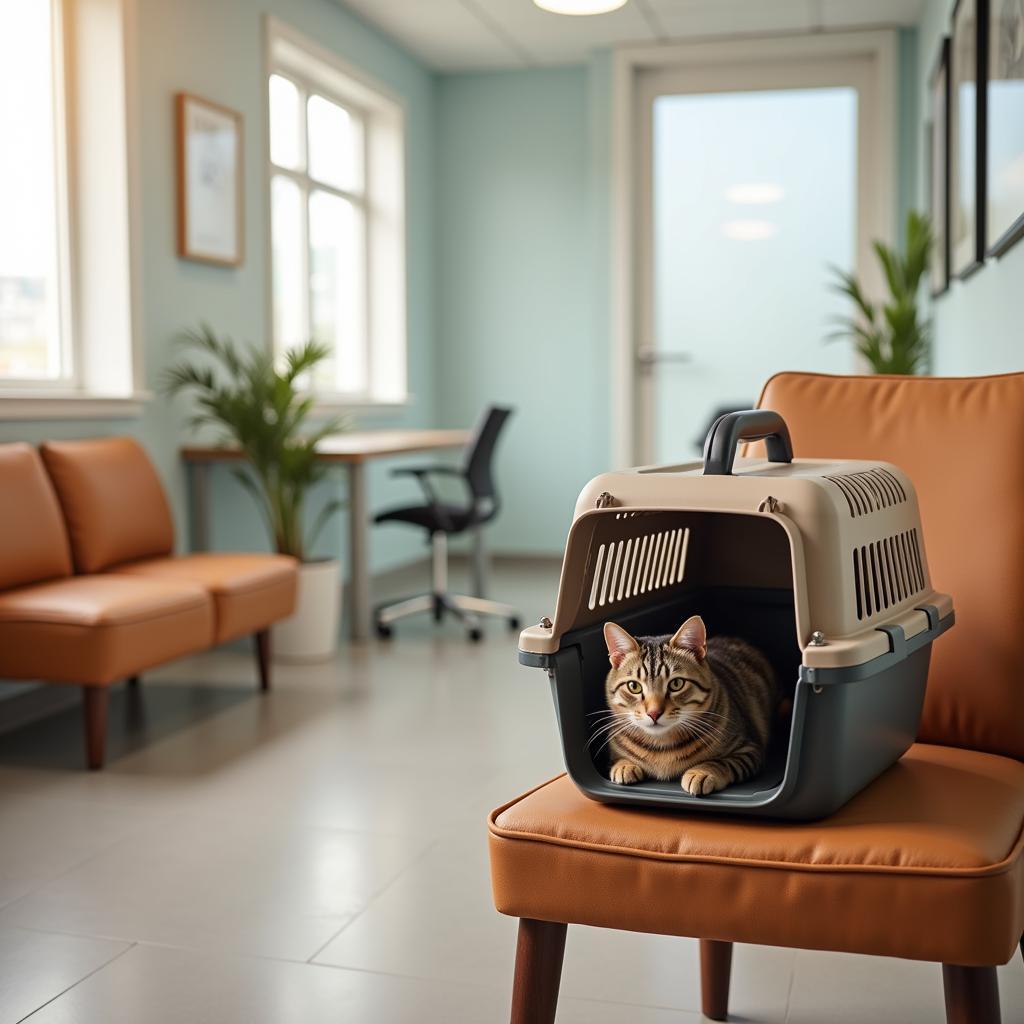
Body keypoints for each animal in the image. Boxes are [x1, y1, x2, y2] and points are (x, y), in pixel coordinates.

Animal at [598, 610, 774, 794]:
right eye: (634, 686)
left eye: (676, 684)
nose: (654, 713)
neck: (661, 746)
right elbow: (619, 758)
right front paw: (624, 765)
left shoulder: (748, 749)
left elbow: (721, 762)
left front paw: (701, 772)